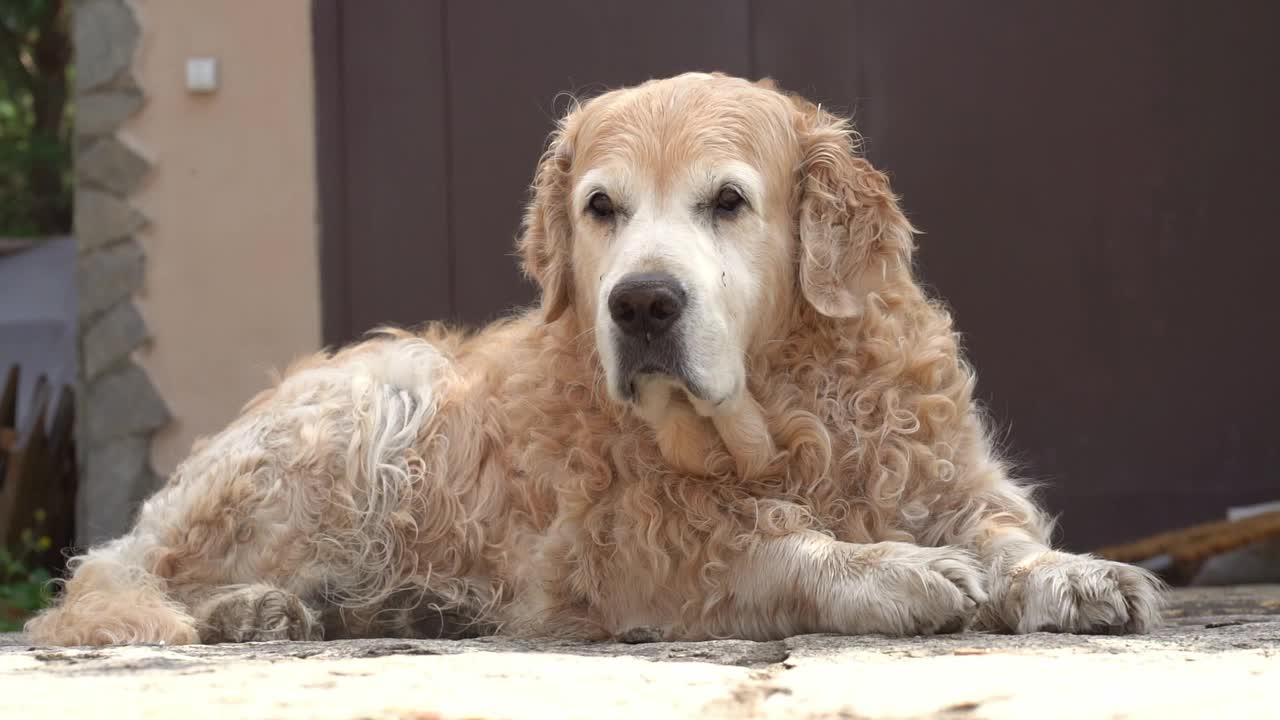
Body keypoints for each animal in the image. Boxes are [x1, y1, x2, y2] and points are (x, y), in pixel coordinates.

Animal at [27, 74, 1162, 645]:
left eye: (727, 200)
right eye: (600, 207)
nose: (643, 302)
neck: (783, 410)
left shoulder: (952, 478)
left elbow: (1006, 538)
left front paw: (1076, 576)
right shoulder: (625, 556)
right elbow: (778, 547)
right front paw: (894, 571)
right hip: (374, 399)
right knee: (130, 572)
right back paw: (253, 608)